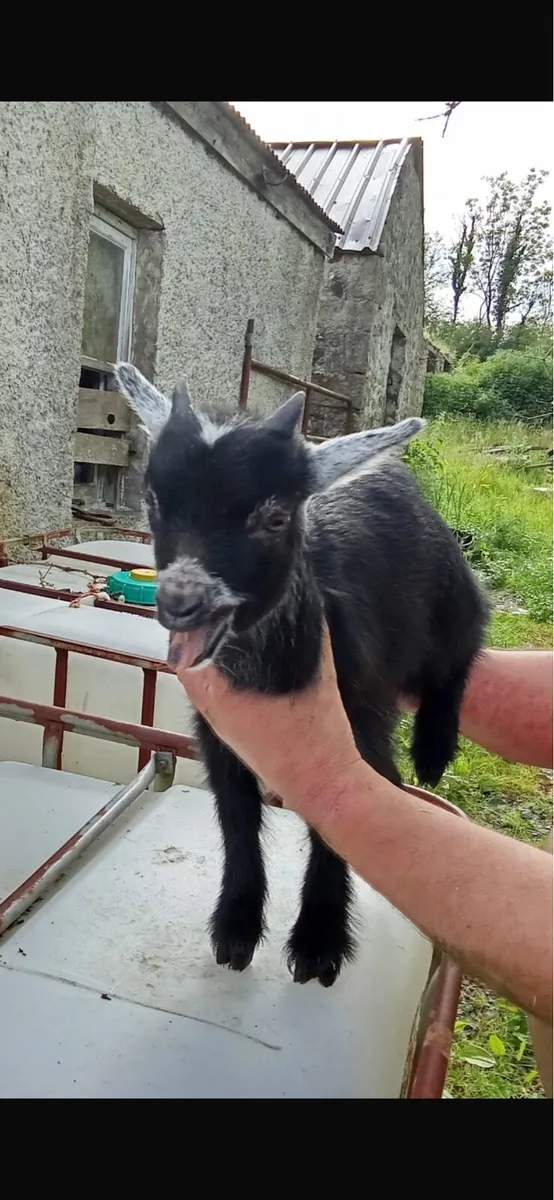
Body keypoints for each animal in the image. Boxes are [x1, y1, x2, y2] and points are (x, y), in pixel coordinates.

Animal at [116, 364, 490, 988]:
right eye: (153, 500)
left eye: (275, 518)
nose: (180, 602)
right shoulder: (217, 738)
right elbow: (238, 819)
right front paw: (236, 929)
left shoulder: (358, 730)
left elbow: (339, 823)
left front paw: (320, 940)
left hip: (449, 598)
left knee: (465, 649)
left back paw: (434, 752)